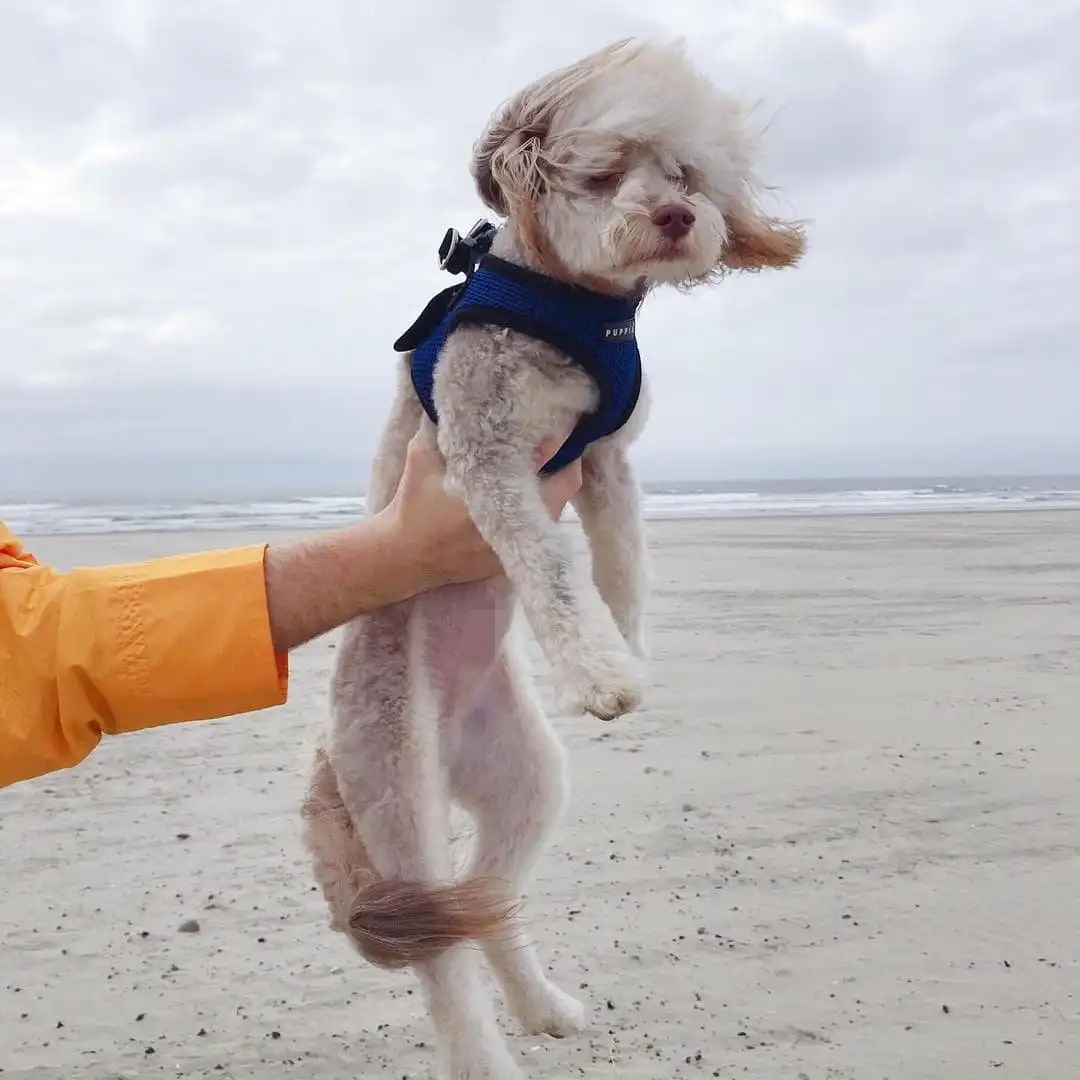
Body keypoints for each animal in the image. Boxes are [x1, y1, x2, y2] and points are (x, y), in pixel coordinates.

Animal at [301, 37, 804, 1080]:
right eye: (601, 171)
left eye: (686, 174)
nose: (675, 215)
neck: (574, 306)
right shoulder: (489, 459)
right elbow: (553, 572)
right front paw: (601, 675)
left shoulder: (608, 463)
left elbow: (621, 567)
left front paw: (628, 651)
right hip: (398, 795)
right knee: (446, 961)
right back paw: (490, 1055)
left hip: (525, 780)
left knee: (486, 902)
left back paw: (544, 1008)